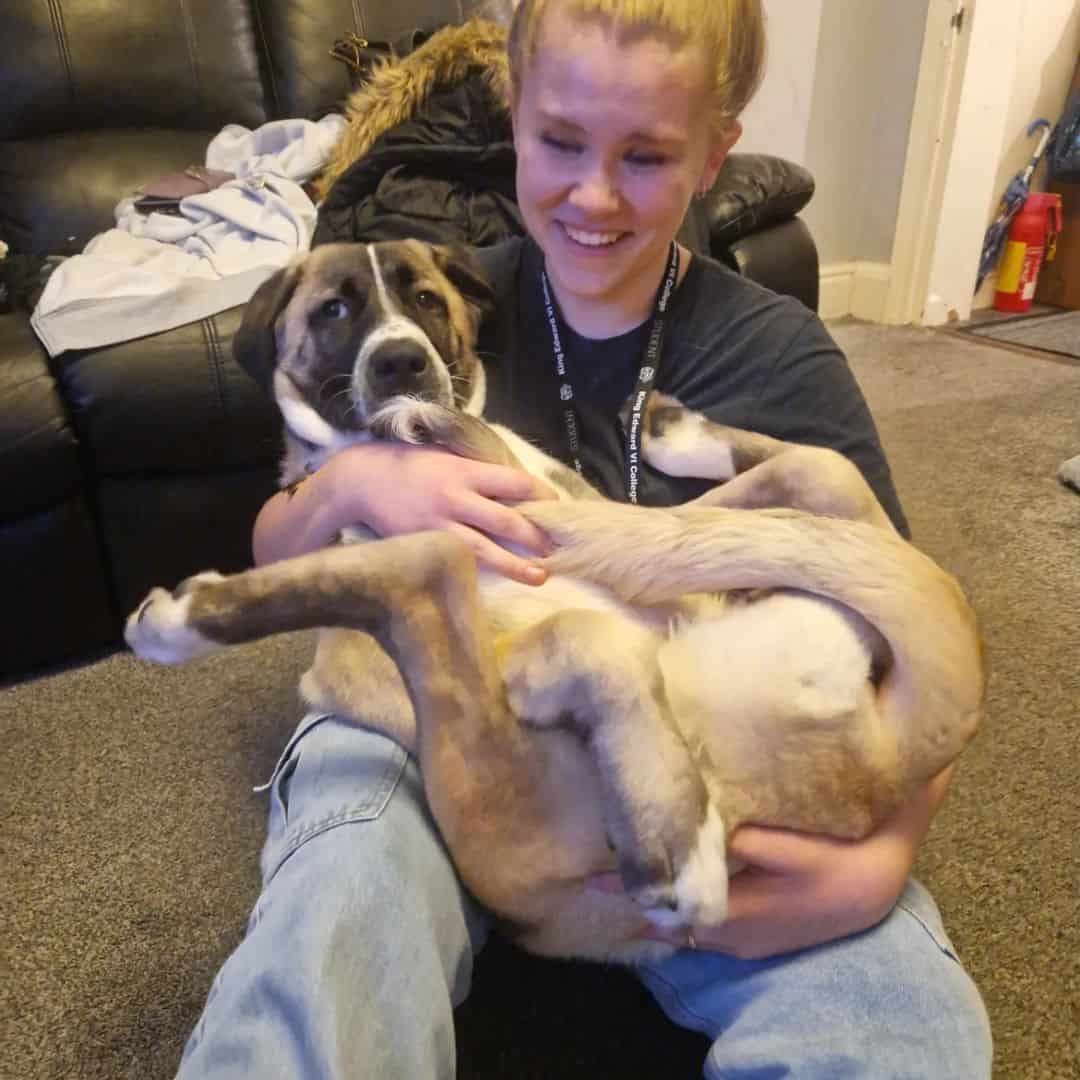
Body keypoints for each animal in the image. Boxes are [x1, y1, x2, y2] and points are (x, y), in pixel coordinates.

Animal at [122, 238, 984, 963]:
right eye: (333, 311)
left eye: (427, 300)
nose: (402, 365)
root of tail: (880, 763)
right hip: (491, 788)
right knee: (443, 580)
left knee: (812, 470)